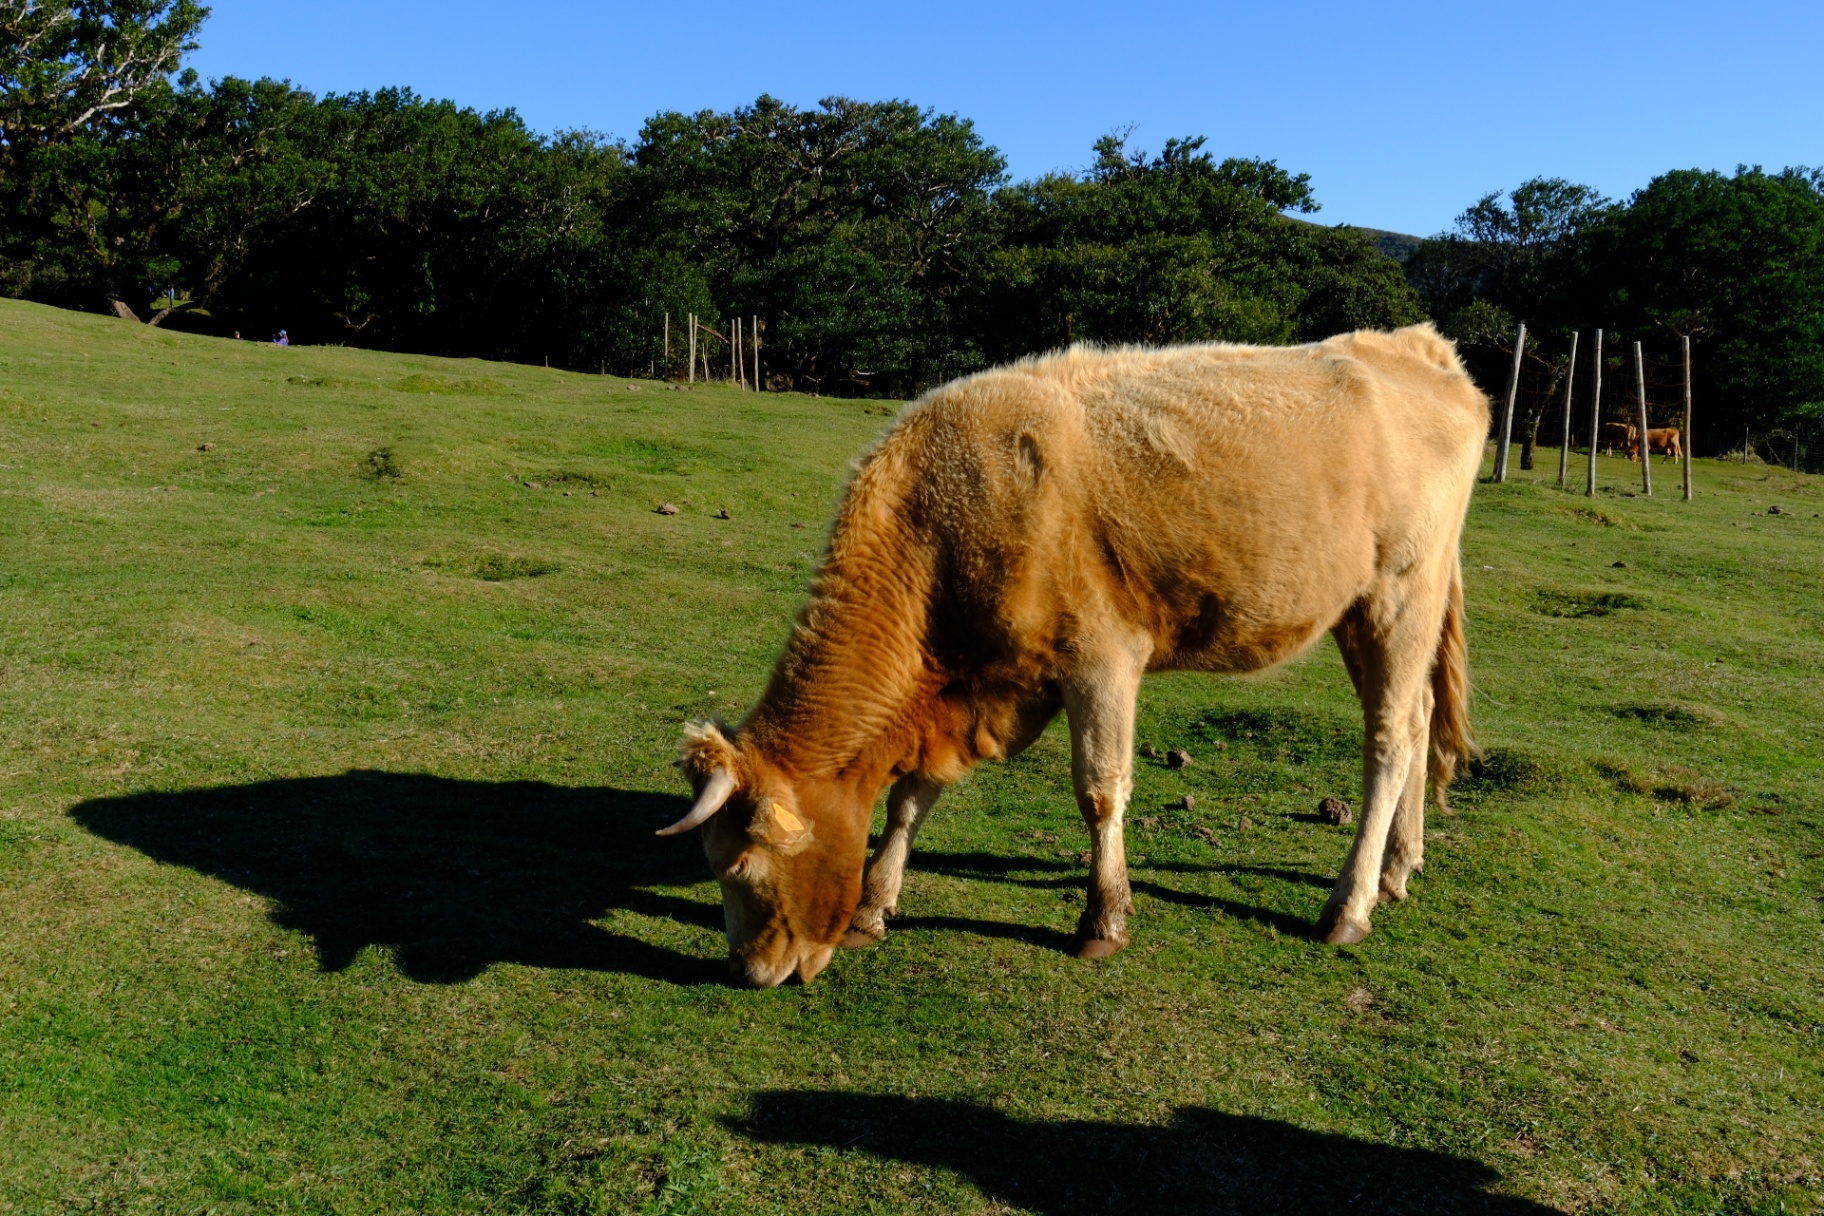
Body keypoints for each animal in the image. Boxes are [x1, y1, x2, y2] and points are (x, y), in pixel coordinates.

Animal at [659, 324, 1487, 987]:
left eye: (738, 864)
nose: (749, 970)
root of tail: (1415, 345)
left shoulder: (1101, 660)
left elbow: (1100, 791)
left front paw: (1103, 920)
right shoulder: (978, 687)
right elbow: (912, 795)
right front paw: (873, 904)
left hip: (1401, 592)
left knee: (1389, 739)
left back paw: (1350, 903)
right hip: (1360, 610)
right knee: (1417, 720)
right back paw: (1399, 867)